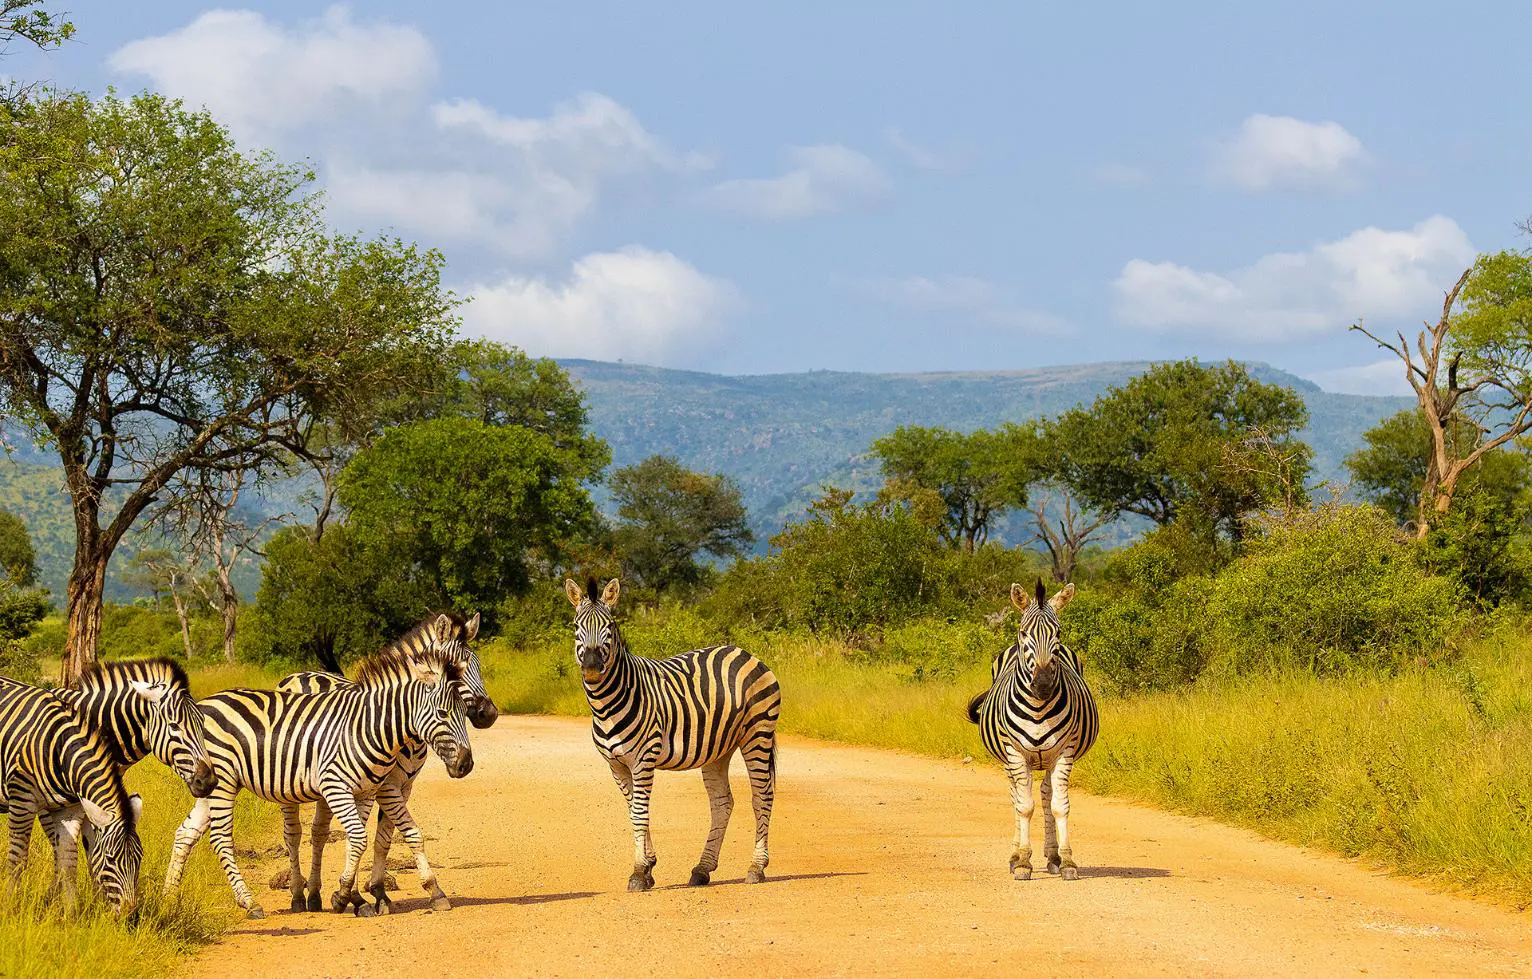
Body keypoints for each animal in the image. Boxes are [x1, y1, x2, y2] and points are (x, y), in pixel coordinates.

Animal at [0, 678, 144, 914]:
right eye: (110, 859)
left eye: (140, 857)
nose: (131, 913)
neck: (59, 748)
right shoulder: (22, 799)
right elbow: (18, 858)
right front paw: (10, 905)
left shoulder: (69, 811)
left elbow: (68, 862)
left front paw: (70, 914)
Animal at [162, 618, 475, 919]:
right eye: (443, 713)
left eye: (463, 712)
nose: (466, 764)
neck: (370, 726)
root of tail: (201, 705)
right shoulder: (340, 786)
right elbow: (360, 838)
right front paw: (346, 896)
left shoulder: (368, 790)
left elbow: (379, 836)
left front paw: (359, 895)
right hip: (226, 783)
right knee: (225, 838)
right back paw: (255, 902)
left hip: (209, 784)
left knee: (186, 833)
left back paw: (169, 900)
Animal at [274, 611, 494, 914]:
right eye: (458, 669)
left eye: (477, 665)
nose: (490, 714)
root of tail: (302, 674)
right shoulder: (384, 788)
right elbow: (400, 834)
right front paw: (358, 895)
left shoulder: (402, 787)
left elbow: (383, 839)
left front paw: (376, 892)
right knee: (293, 834)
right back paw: (297, 895)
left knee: (319, 832)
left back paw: (315, 896)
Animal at [564, 577, 780, 891]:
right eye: (576, 626)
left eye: (610, 626)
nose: (592, 669)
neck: (607, 704)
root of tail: (744, 652)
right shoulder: (615, 765)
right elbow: (633, 811)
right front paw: (648, 866)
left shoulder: (643, 759)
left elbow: (640, 813)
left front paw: (639, 872)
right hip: (719, 747)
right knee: (722, 803)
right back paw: (702, 869)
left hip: (758, 733)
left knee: (762, 795)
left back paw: (756, 867)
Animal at [966, 580, 1098, 881]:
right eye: (1024, 632)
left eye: (1057, 633)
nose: (1043, 685)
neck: (1038, 708)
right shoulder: (1015, 752)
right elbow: (1024, 806)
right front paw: (1024, 862)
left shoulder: (1065, 751)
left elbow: (1059, 806)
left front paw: (1068, 861)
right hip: (1008, 758)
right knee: (1016, 795)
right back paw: (1015, 856)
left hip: (1048, 758)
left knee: (1047, 795)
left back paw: (1053, 856)